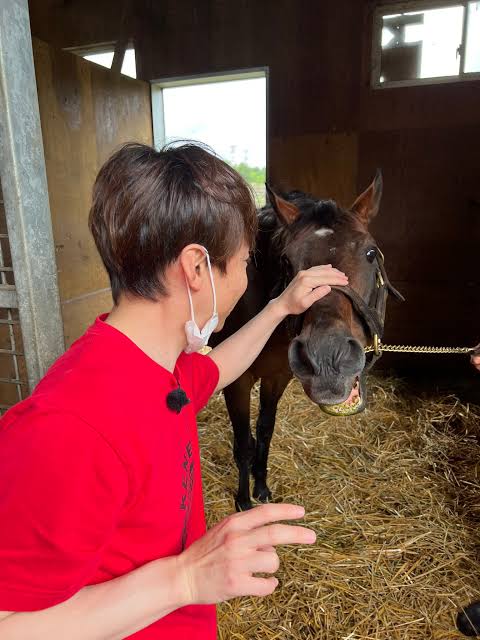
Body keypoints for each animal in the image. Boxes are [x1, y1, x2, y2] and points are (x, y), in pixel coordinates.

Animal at [210, 172, 403, 511]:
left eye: (370, 253)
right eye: (287, 261)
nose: (328, 358)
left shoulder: (277, 377)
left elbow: (265, 430)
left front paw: (261, 488)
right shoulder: (237, 383)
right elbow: (244, 442)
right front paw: (244, 501)